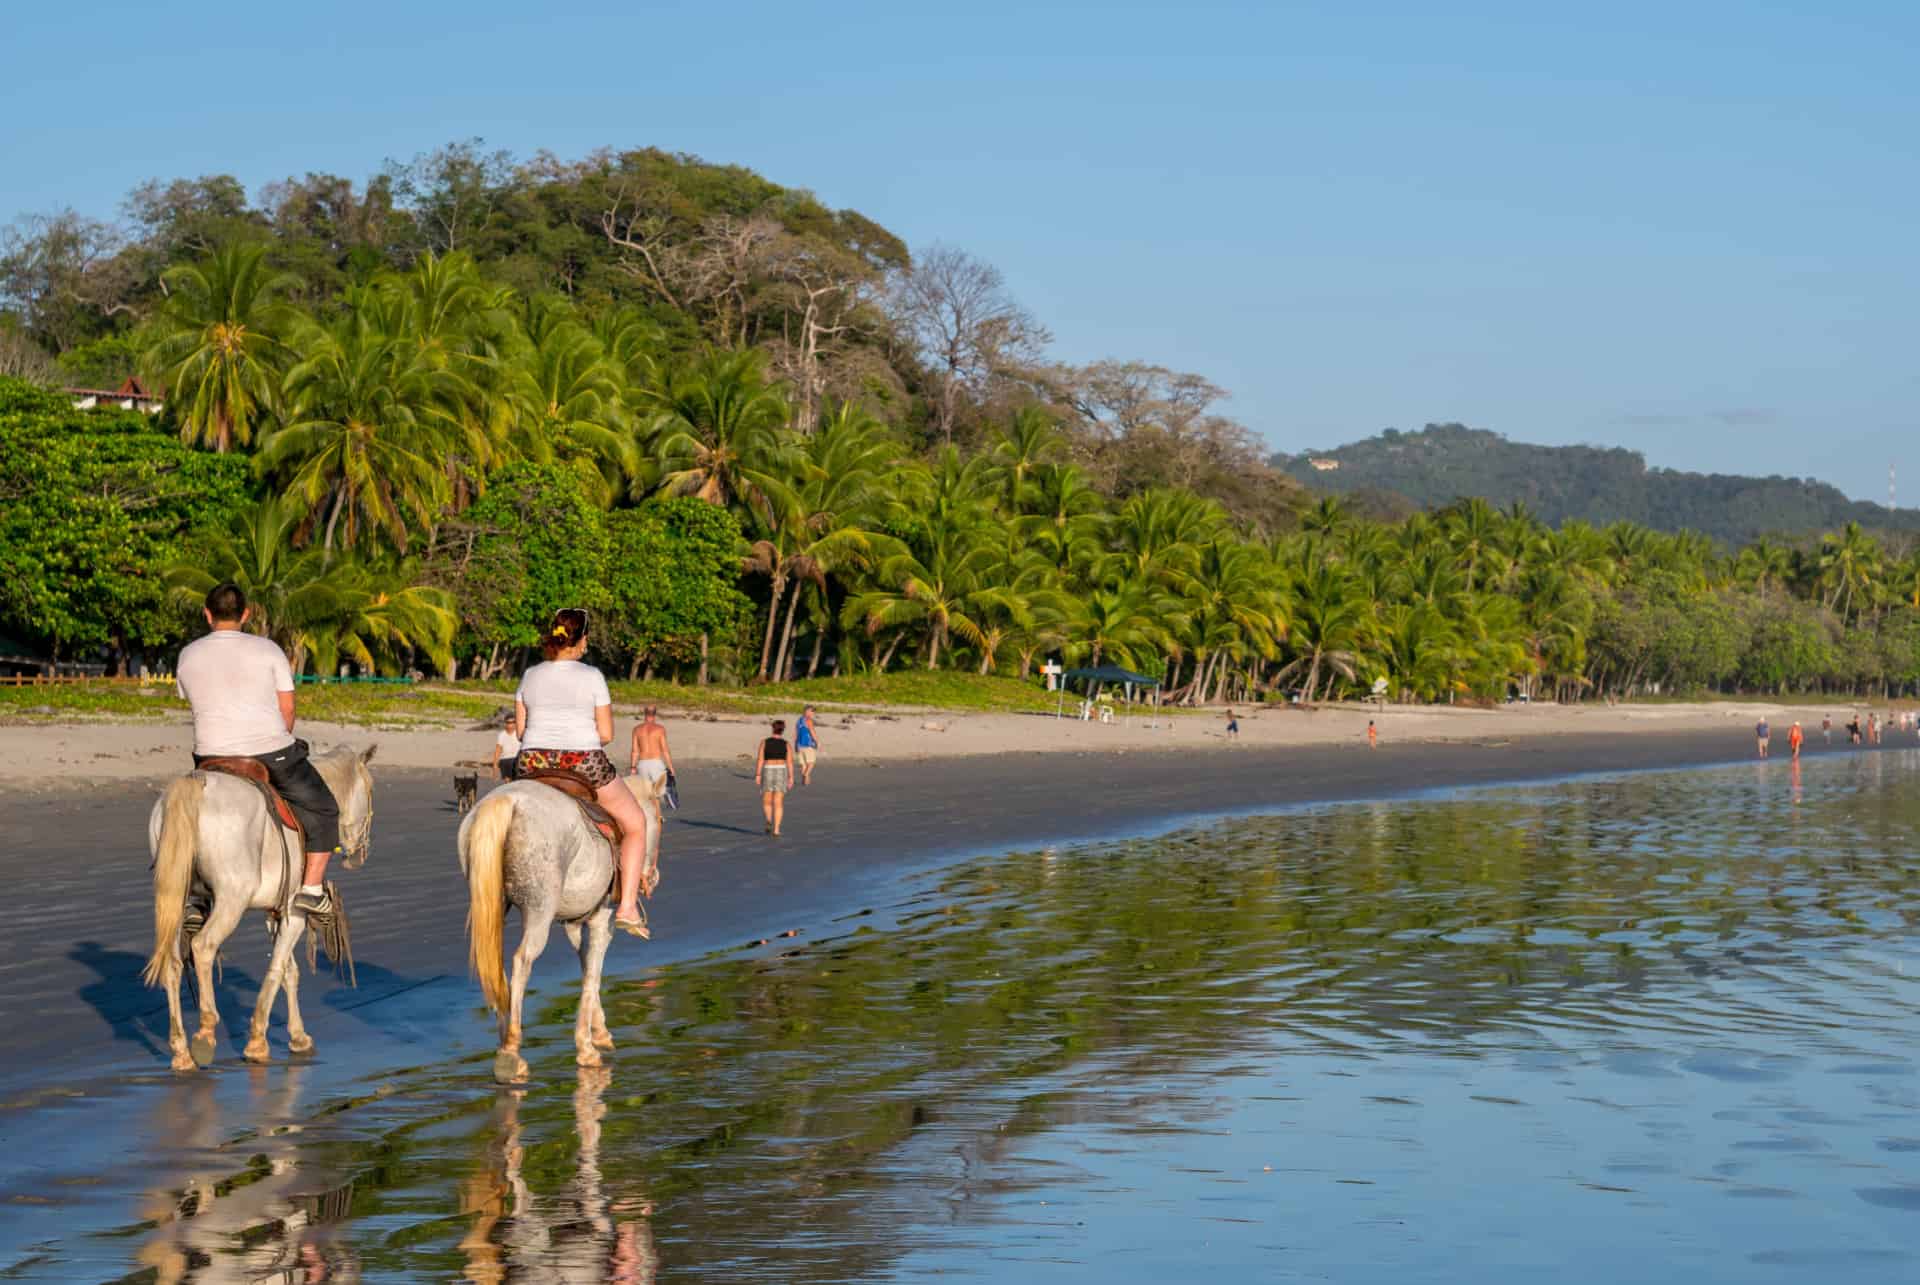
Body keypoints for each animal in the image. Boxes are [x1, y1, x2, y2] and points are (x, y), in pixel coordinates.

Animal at [140, 745, 376, 1067]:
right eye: (370, 789)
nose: (359, 855)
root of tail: (196, 782)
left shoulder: (273, 913)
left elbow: (289, 971)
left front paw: (298, 1037)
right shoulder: (294, 912)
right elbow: (277, 969)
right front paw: (257, 1041)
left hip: (174, 900)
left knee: (173, 962)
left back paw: (181, 1051)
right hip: (231, 901)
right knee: (203, 947)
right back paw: (205, 1032)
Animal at [458, 772, 664, 1083]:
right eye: (661, 819)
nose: (653, 878)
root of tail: (507, 801)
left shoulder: (575, 925)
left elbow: (586, 967)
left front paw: (598, 1033)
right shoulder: (602, 920)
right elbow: (593, 973)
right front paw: (586, 1048)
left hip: (491, 904)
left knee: (494, 966)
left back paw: (503, 1042)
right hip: (539, 910)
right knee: (522, 961)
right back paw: (510, 1052)